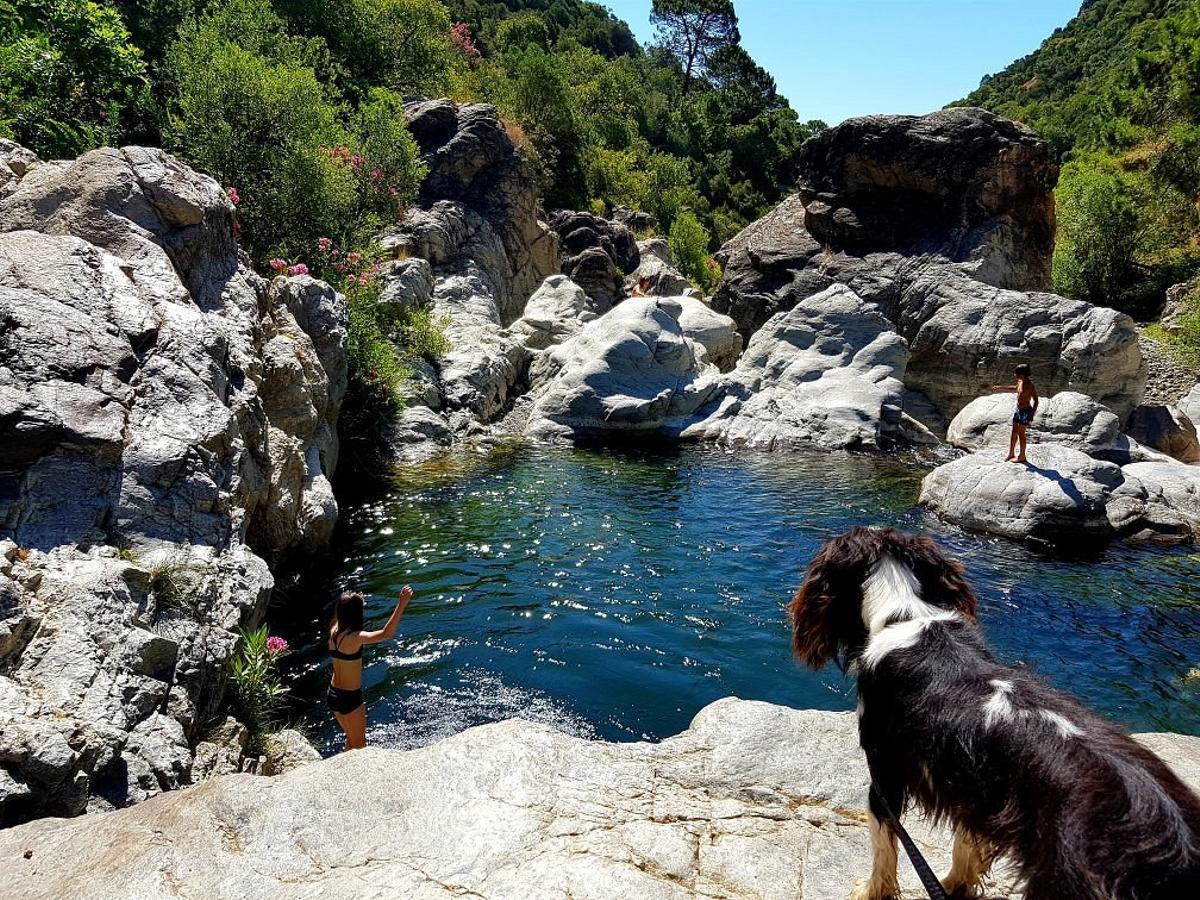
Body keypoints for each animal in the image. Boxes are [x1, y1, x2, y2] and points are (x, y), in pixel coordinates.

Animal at [792, 528, 1195, 900]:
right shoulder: (973, 786)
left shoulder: (885, 772)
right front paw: (955, 884)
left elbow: (883, 848)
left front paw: (871, 891)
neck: (904, 616)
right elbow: (966, 842)